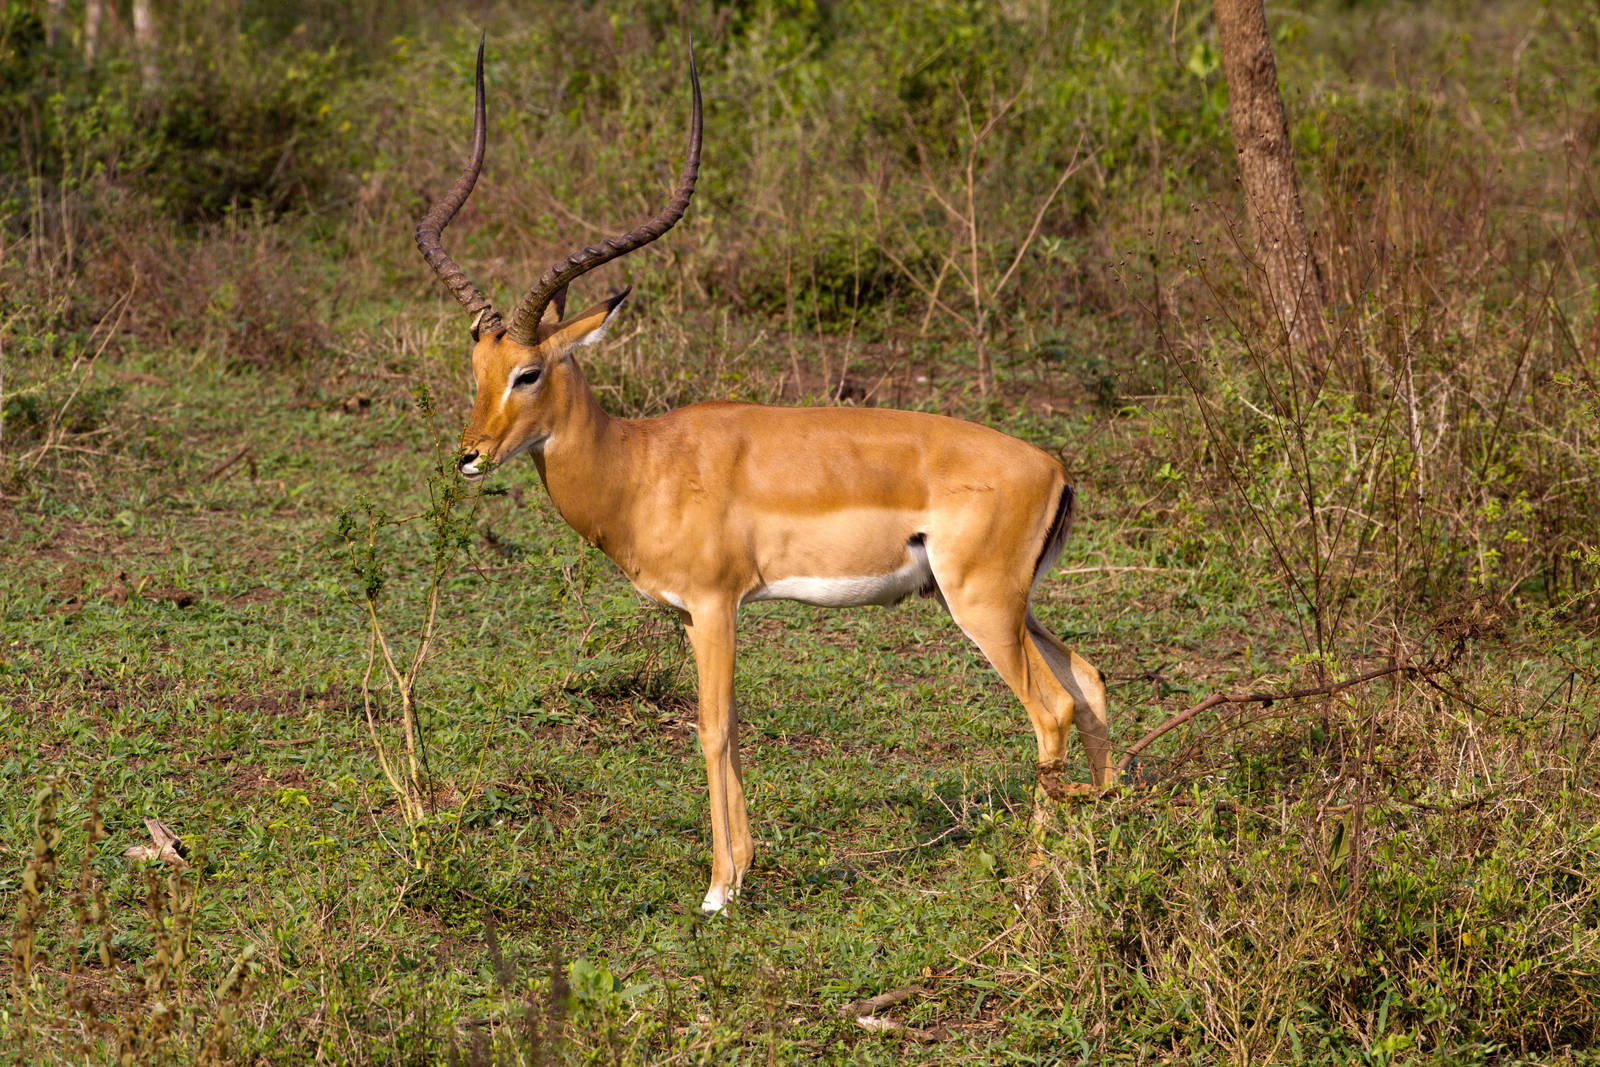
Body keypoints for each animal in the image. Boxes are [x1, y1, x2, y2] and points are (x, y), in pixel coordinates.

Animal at [416, 41, 1112, 914]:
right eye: (477, 367)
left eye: (530, 372)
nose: (469, 455)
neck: (641, 464)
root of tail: (1052, 467)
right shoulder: (690, 615)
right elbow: (733, 726)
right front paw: (740, 872)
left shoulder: (717, 605)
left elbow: (712, 727)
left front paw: (719, 889)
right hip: (1016, 605)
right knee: (1090, 681)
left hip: (982, 607)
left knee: (1050, 710)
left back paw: (1033, 882)